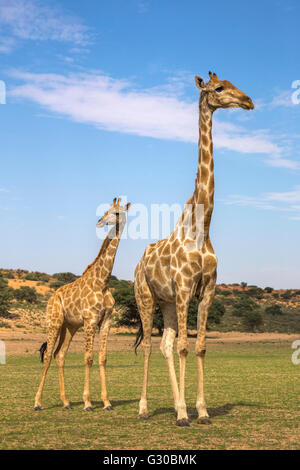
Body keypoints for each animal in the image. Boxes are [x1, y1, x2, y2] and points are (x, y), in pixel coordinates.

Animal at [34, 197, 130, 412]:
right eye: (106, 210)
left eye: (117, 212)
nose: (100, 222)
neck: (103, 282)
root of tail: (51, 298)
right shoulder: (90, 319)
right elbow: (88, 358)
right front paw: (87, 403)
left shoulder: (106, 321)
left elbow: (102, 358)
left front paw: (107, 402)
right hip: (54, 322)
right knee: (48, 356)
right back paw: (37, 403)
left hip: (69, 326)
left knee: (60, 355)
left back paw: (66, 402)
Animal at [134, 70, 253, 426]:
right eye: (219, 88)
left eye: (233, 83)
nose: (248, 101)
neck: (201, 229)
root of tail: (138, 264)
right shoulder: (186, 288)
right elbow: (185, 347)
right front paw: (186, 413)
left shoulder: (207, 290)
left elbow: (198, 347)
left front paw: (199, 410)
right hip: (146, 298)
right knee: (150, 346)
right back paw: (144, 408)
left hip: (168, 303)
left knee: (165, 345)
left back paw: (176, 405)